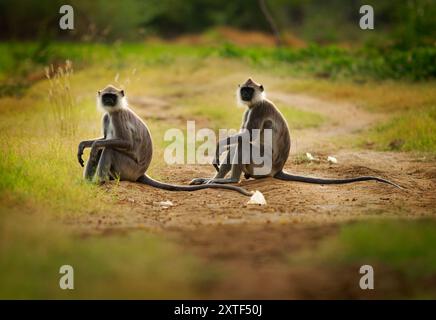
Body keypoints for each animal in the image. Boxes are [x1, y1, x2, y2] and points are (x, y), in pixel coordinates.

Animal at [76, 84, 250, 196]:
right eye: (106, 96)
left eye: (112, 96)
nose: (108, 101)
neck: (114, 110)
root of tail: (140, 173)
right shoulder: (107, 116)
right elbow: (105, 139)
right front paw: (83, 145)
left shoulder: (117, 116)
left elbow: (124, 143)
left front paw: (93, 146)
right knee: (104, 148)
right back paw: (88, 182)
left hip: (128, 169)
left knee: (108, 149)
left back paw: (99, 181)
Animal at [191, 78, 402, 189]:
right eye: (244, 90)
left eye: (249, 90)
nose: (245, 95)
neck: (255, 102)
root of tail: (278, 169)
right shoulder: (249, 109)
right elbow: (242, 136)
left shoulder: (259, 109)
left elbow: (247, 137)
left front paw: (218, 147)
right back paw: (212, 180)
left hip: (263, 166)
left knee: (244, 145)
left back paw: (230, 180)